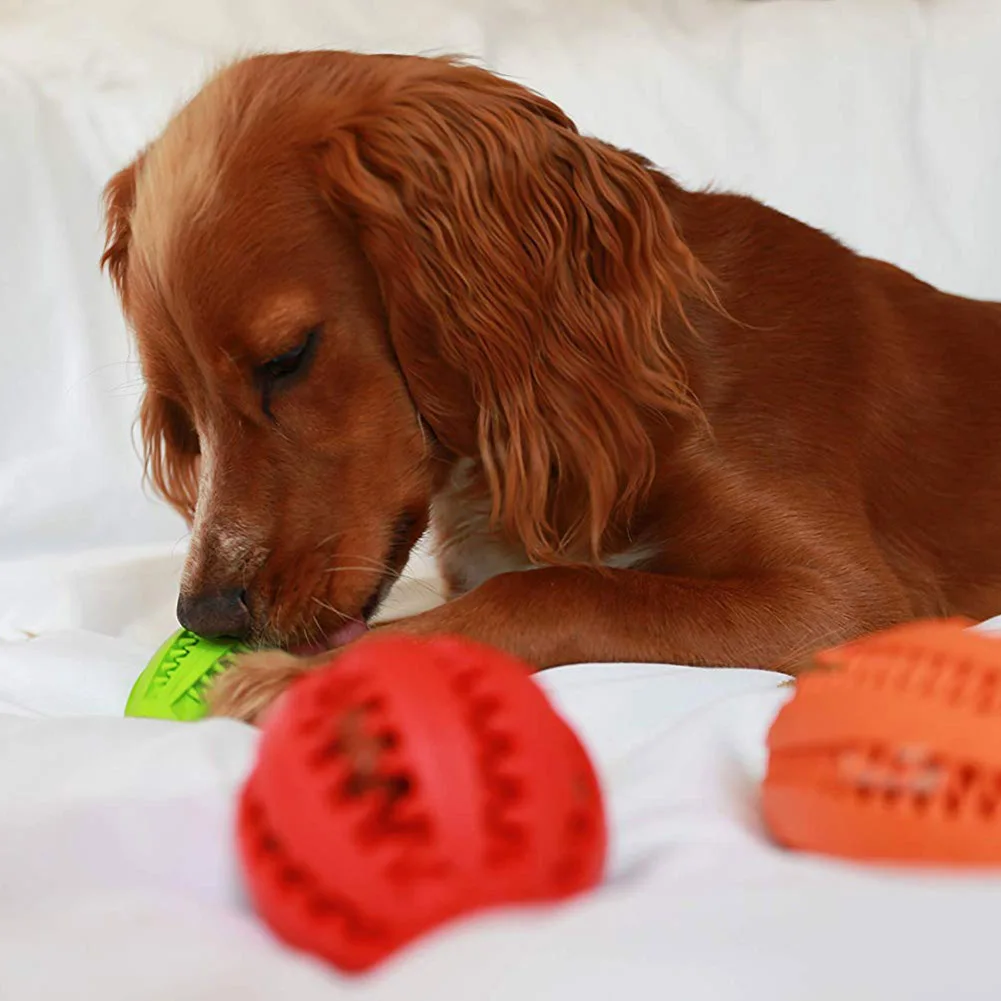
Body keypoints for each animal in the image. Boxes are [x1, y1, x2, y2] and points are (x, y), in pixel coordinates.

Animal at [101, 51, 1001, 722]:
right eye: (182, 412)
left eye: (288, 358)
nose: (207, 618)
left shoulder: (850, 605)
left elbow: (559, 587)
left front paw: (305, 676)